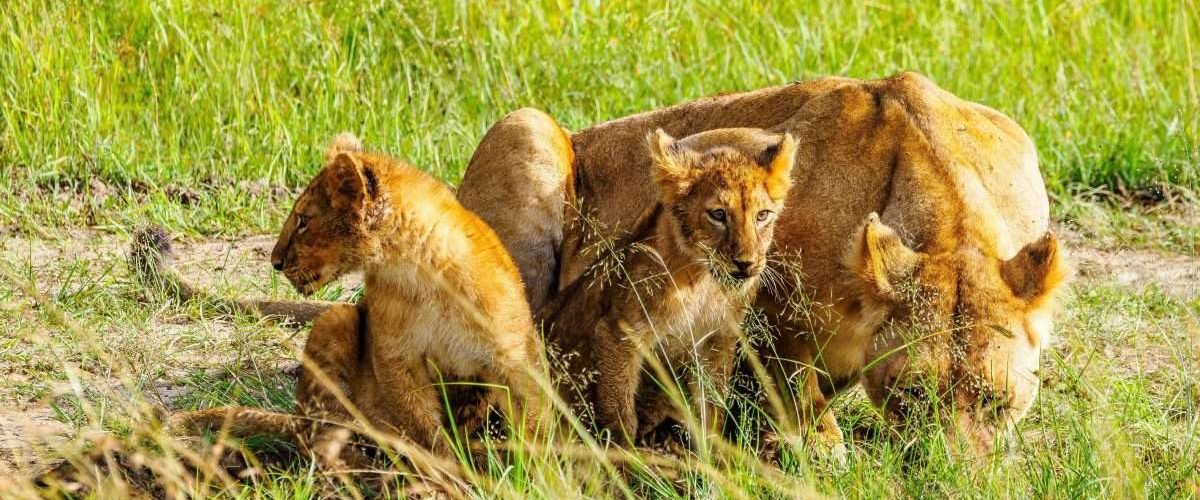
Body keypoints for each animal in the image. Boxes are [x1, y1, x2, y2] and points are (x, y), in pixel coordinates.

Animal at [154, 133, 549, 465]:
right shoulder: (395, 358)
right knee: (315, 430)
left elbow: (534, 420)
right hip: (336, 320)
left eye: (304, 220)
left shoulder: (514, 355)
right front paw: (445, 471)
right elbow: (424, 430)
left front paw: (536, 471)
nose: (275, 262)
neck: (419, 271)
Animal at [539, 128, 796, 445]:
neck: (704, 284)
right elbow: (619, 407)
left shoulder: (717, 340)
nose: (745, 264)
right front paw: (625, 454)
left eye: (762, 216)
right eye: (718, 214)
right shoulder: (618, 332)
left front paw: (713, 453)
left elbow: (712, 407)